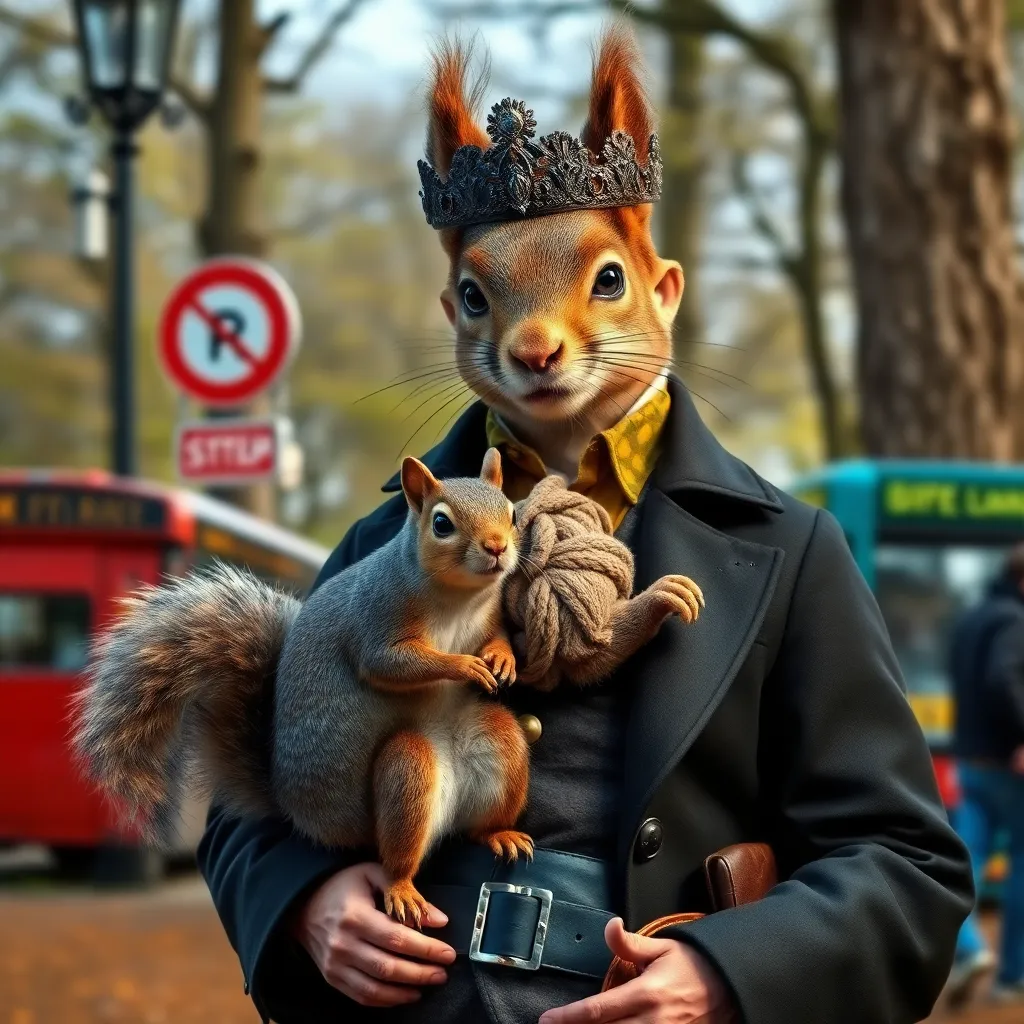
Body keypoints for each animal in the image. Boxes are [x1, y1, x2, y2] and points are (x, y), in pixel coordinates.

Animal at [74, 448, 532, 925]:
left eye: (513, 512)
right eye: (441, 523)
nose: (497, 547)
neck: (459, 599)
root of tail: (300, 814)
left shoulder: (489, 616)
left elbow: (498, 635)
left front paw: (501, 658)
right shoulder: (377, 617)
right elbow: (391, 664)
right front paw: (463, 665)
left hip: (500, 745)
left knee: (484, 809)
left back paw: (500, 833)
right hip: (406, 773)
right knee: (396, 853)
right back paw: (402, 887)